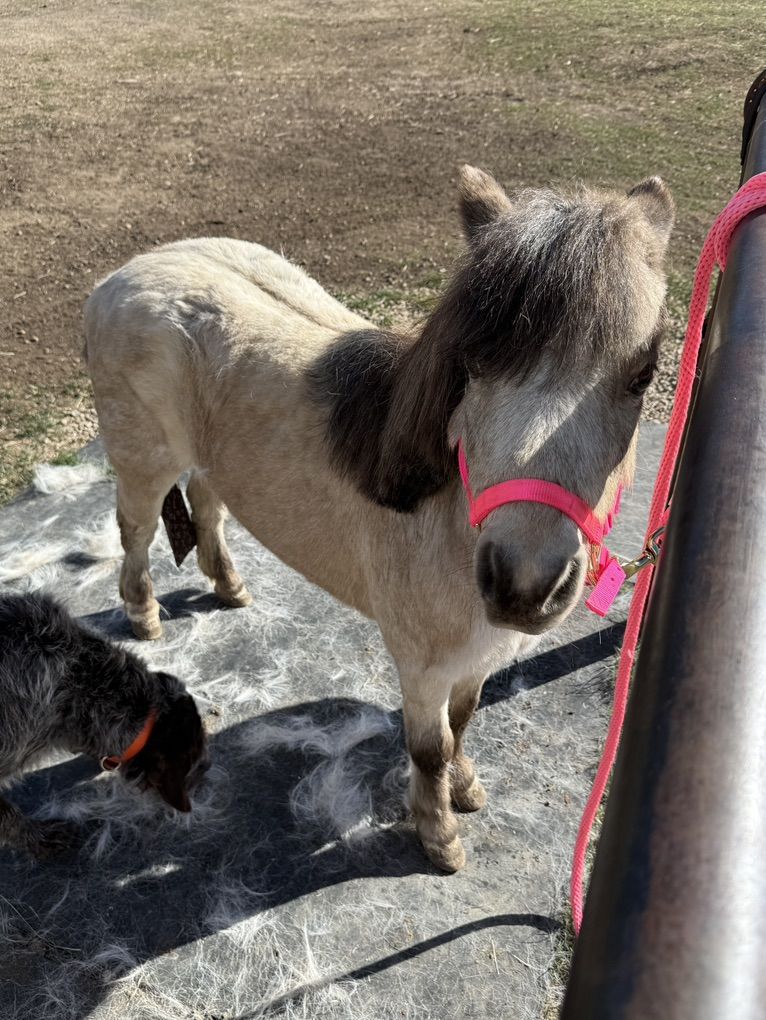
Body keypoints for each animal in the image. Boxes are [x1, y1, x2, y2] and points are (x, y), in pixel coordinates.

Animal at [84, 165, 673, 872]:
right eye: (473, 360)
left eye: (644, 371)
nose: (524, 585)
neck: (443, 520)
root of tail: (122, 275)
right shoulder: (420, 668)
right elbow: (431, 747)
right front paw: (438, 836)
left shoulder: (477, 659)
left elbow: (465, 719)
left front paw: (465, 788)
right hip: (143, 461)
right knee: (137, 532)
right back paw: (144, 614)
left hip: (210, 458)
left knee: (207, 502)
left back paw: (229, 586)